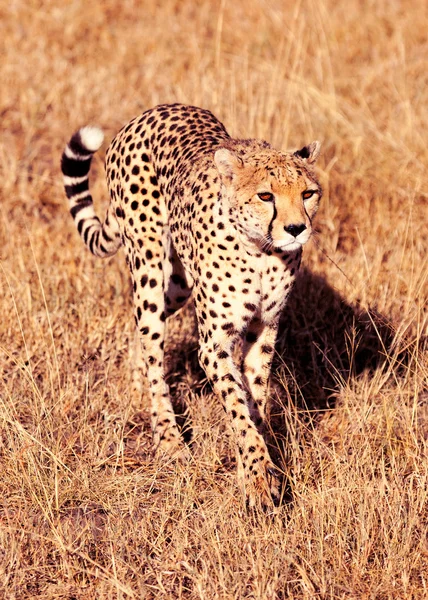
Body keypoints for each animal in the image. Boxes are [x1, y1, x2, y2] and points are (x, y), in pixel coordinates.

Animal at [61, 103, 320, 506]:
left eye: (308, 193)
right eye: (266, 196)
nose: (296, 229)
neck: (263, 253)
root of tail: (151, 111)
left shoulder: (264, 329)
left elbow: (255, 401)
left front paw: (257, 468)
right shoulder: (214, 344)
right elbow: (238, 408)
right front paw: (258, 479)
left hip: (181, 286)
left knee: (141, 331)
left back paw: (134, 381)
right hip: (148, 267)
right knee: (154, 349)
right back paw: (168, 438)